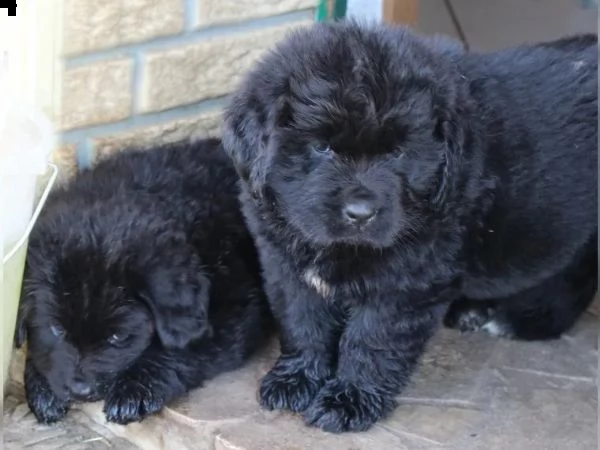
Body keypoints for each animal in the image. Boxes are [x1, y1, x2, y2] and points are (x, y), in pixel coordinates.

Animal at [16, 138, 274, 426]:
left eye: (118, 337)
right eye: (57, 330)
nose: (79, 390)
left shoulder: (236, 308)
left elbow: (182, 349)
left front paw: (134, 390)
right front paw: (42, 386)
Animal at [223, 22, 596, 434]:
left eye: (399, 152)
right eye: (322, 147)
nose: (360, 213)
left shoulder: (405, 283)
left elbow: (371, 339)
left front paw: (348, 400)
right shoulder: (284, 265)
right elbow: (302, 322)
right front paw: (295, 380)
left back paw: (520, 322)